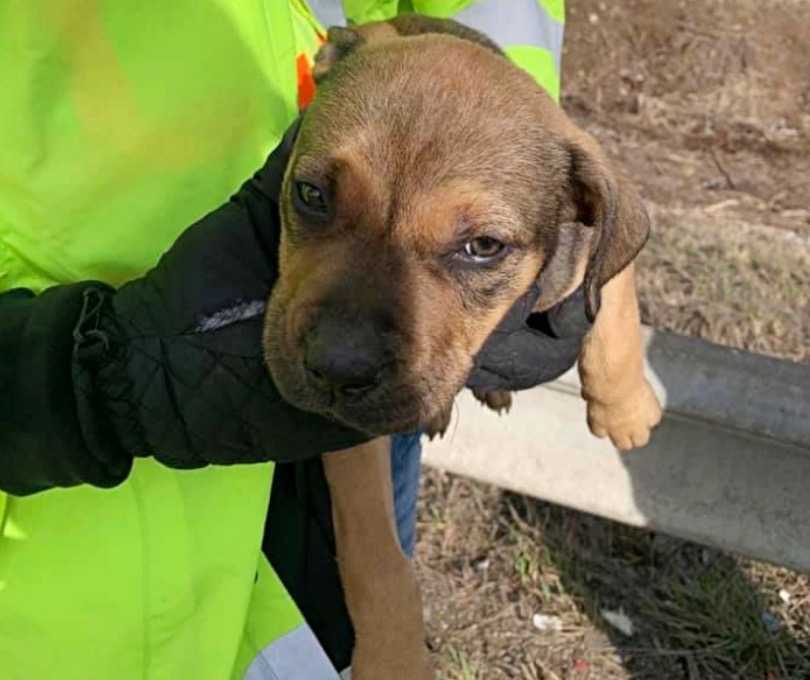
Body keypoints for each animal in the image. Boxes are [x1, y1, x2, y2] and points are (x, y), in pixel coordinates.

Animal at [262, 17, 660, 680]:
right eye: (311, 193)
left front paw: (626, 409)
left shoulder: (590, 222)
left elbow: (614, 292)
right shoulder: (351, 442)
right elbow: (379, 563)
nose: (337, 367)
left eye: (483, 247)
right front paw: (393, 656)